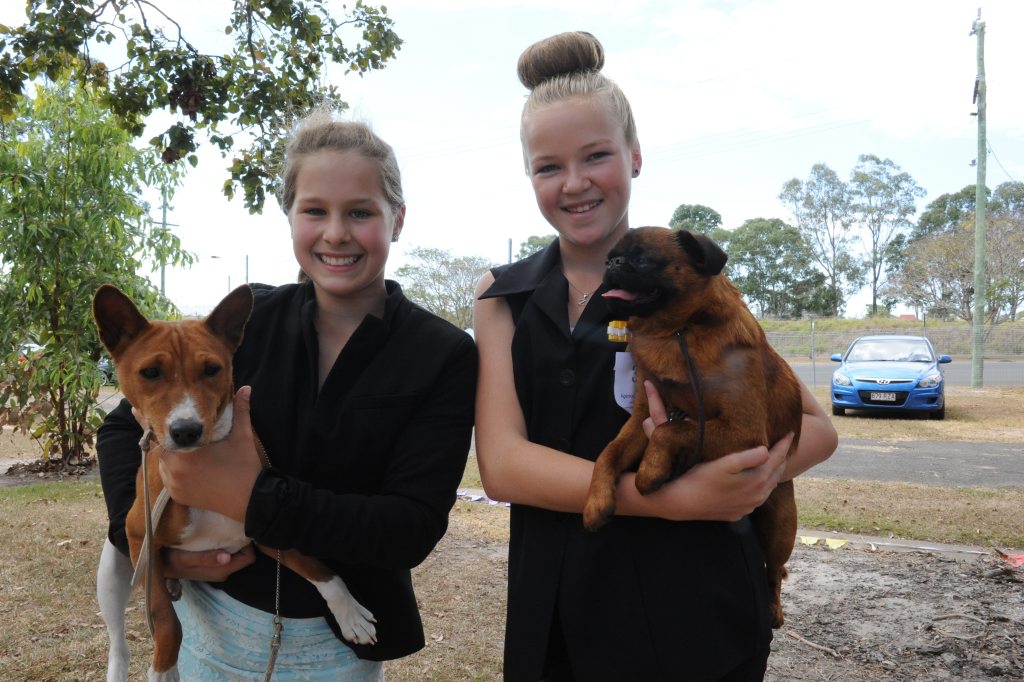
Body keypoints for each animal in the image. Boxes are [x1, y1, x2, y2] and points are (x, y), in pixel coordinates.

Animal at [95, 282, 376, 679]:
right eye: (150, 372)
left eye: (212, 369)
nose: (186, 431)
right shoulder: (139, 536)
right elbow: (165, 619)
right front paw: (165, 668)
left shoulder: (266, 520)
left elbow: (317, 566)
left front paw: (349, 612)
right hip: (114, 572)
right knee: (118, 642)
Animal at [585, 227, 798, 626]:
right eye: (610, 257)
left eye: (643, 260)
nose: (613, 263)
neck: (677, 331)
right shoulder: (640, 418)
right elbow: (608, 453)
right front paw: (596, 501)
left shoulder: (744, 431)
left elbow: (671, 430)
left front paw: (650, 472)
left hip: (781, 524)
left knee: (774, 570)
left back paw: (775, 610)